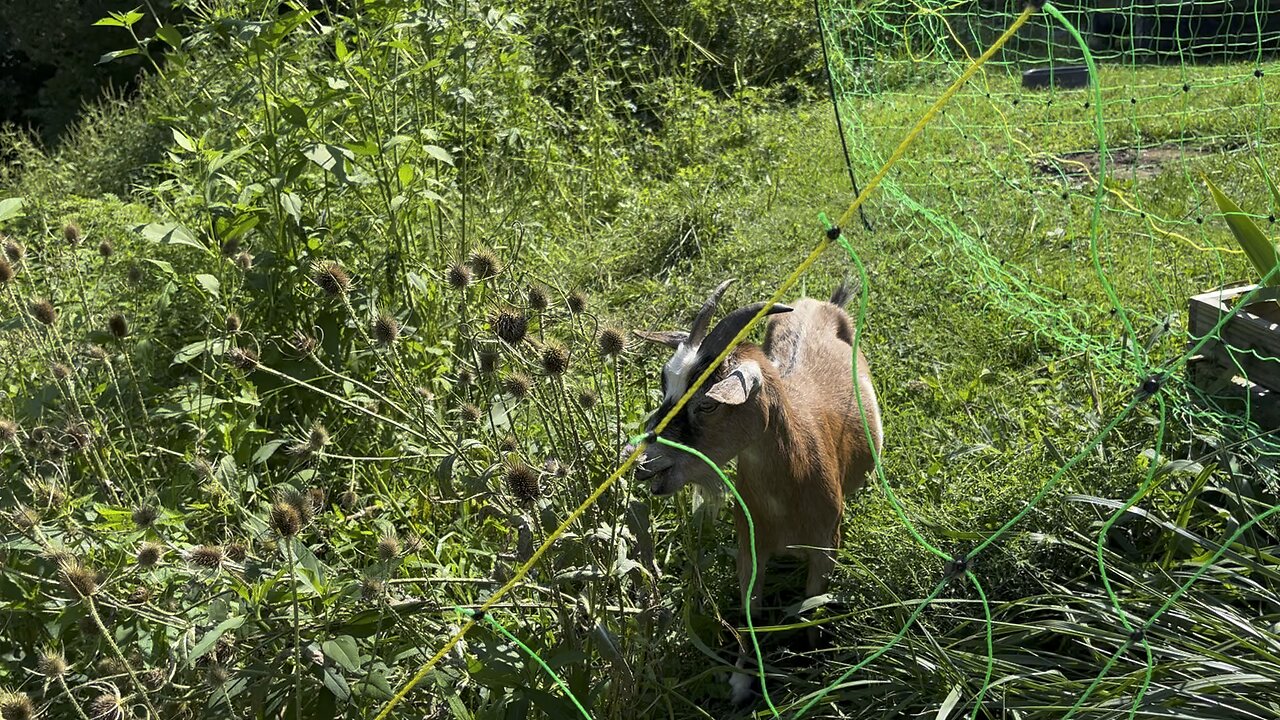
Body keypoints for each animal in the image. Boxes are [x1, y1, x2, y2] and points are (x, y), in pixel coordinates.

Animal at [629, 278, 880, 702]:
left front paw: (811, 663)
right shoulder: (750, 548)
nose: (643, 462)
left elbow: (811, 608)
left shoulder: (826, 546)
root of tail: (821, 304)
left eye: (708, 405)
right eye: (665, 386)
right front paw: (742, 680)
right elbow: (749, 612)